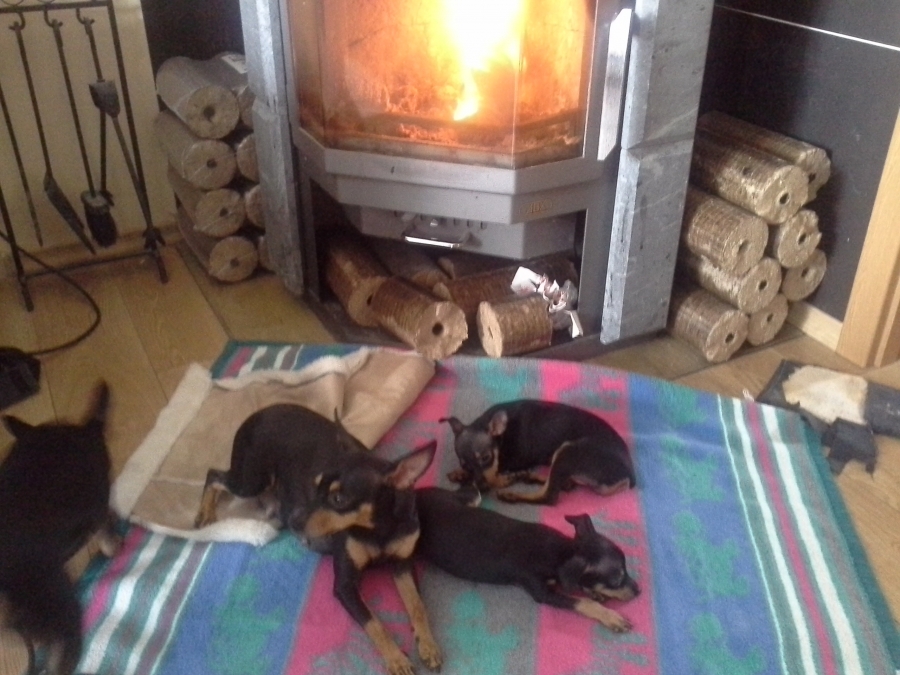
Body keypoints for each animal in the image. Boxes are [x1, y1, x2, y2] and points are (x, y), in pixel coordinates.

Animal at [194, 404, 442, 675]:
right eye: (316, 486)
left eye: (338, 500)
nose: (295, 522)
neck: (378, 528)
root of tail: (259, 413)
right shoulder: (344, 585)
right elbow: (374, 623)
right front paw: (397, 659)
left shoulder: (403, 565)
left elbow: (417, 605)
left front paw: (428, 645)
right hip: (251, 479)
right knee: (213, 475)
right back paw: (206, 513)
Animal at [414, 486, 639, 631]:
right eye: (617, 579)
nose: (639, 592)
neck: (562, 552)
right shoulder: (542, 593)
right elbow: (582, 602)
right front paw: (611, 617)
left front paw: (594, 591)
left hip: (465, 500)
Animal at [440, 399, 635, 504]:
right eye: (464, 464)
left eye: (486, 457)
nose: (482, 488)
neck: (501, 435)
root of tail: (628, 477)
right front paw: (459, 474)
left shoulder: (507, 463)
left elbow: (495, 475)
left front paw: (503, 481)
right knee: (565, 484)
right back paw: (530, 476)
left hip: (568, 451)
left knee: (549, 496)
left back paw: (512, 494)